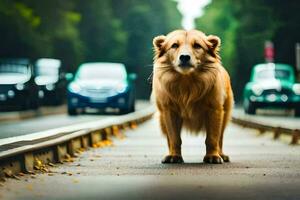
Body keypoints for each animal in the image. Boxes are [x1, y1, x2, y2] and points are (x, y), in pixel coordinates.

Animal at [152, 29, 234, 164]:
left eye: (197, 45)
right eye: (174, 45)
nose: (184, 57)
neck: (187, 82)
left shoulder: (214, 109)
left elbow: (212, 138)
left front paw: (213, 156)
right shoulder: (169, 111)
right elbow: (174, 138)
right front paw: (174, 156)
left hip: (225, 114)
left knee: (220, 137)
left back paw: (222, 154)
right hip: (162, 119)